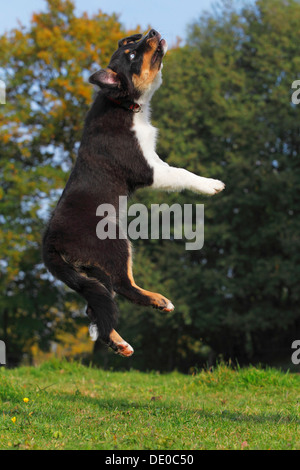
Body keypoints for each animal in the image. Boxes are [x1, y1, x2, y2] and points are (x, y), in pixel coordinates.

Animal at [42, 29, 225, 358]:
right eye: (132, 55)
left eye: (131, 44)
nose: (151, 31)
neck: (124, 105)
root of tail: (50, 242)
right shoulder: (146, 167)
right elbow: (181, 172)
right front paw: (211, 184)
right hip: (114, 244)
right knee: (123, 287)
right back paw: (160, 301)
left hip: (90, 270)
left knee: (98, 306)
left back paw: (119, 344)